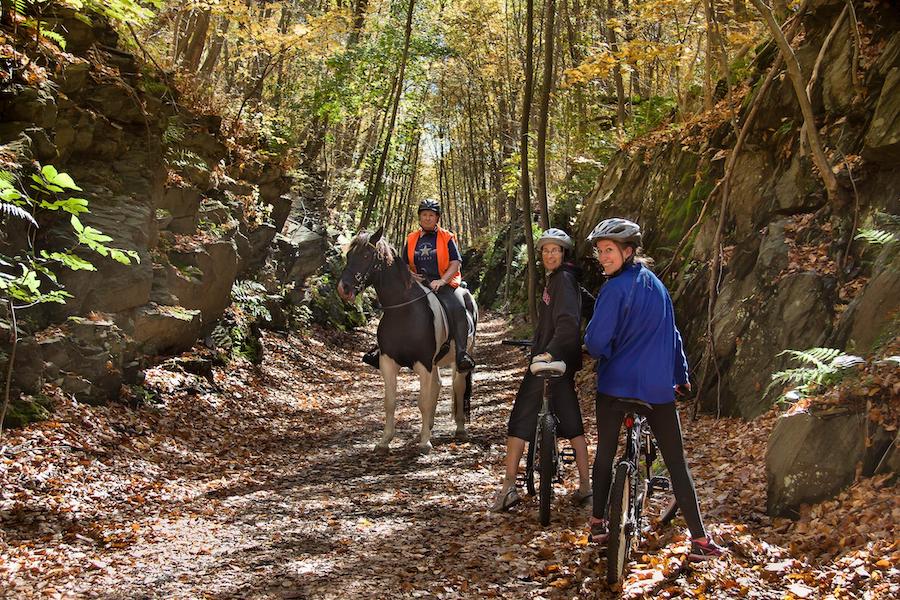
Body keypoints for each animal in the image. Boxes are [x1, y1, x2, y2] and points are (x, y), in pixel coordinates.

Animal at [338, 227, 478, 452]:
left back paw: (459, 429)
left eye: (367, 255)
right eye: (349, 255)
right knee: (437, 385)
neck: (403, 310)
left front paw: (425, 442)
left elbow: (423, 402)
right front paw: (385, 441)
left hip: (462, 356)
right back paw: (428, 427)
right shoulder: (388, 362)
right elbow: (390, 402)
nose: (344, 288)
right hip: (435, 362)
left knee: (458, 385)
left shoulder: (423, 363)